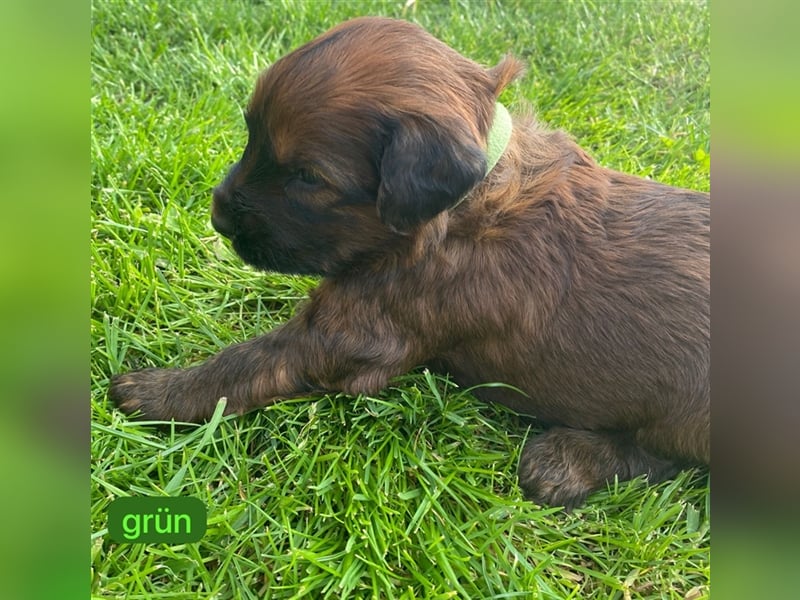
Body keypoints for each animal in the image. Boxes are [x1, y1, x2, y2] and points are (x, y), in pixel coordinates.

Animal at [109, 16, 708, 508]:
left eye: (308, 177)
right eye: (251, 133)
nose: (218, 218)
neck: (468, 200)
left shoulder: (355, 332)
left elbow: (248, 361)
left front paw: (157, 391)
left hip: (686, 409)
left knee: (663, 460)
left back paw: (564, 463)